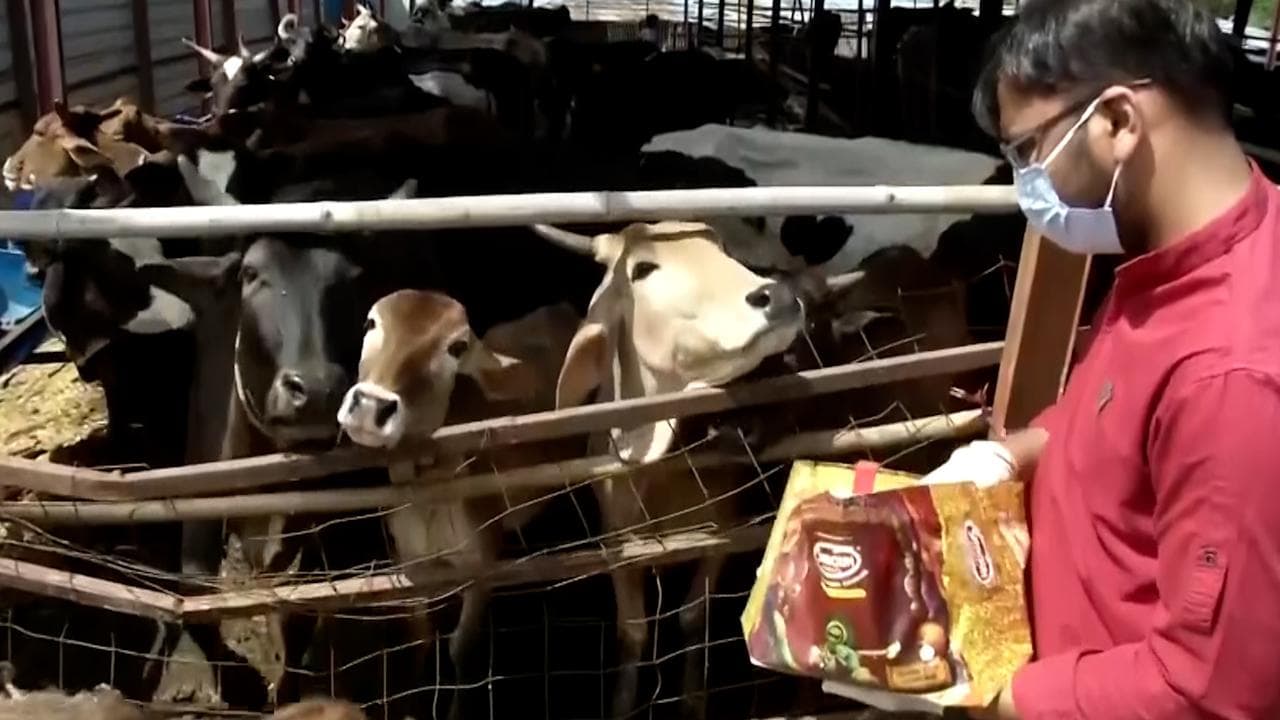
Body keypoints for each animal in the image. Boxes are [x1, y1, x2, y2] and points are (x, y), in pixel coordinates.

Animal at [338, 291, 583, 720]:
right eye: (372, 323)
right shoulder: (410, 562)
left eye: (457, 347)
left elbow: (461, 648)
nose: (370, 406)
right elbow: (420, 637)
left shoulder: (482, 564)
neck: (431, 491)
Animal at [545, 221, 803, 720]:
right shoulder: (616, 544)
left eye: (719, 248)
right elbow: (633, 630)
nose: (777, 295)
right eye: (642, 269)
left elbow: (692, 614)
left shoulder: (723, 531)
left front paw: (693, 702)